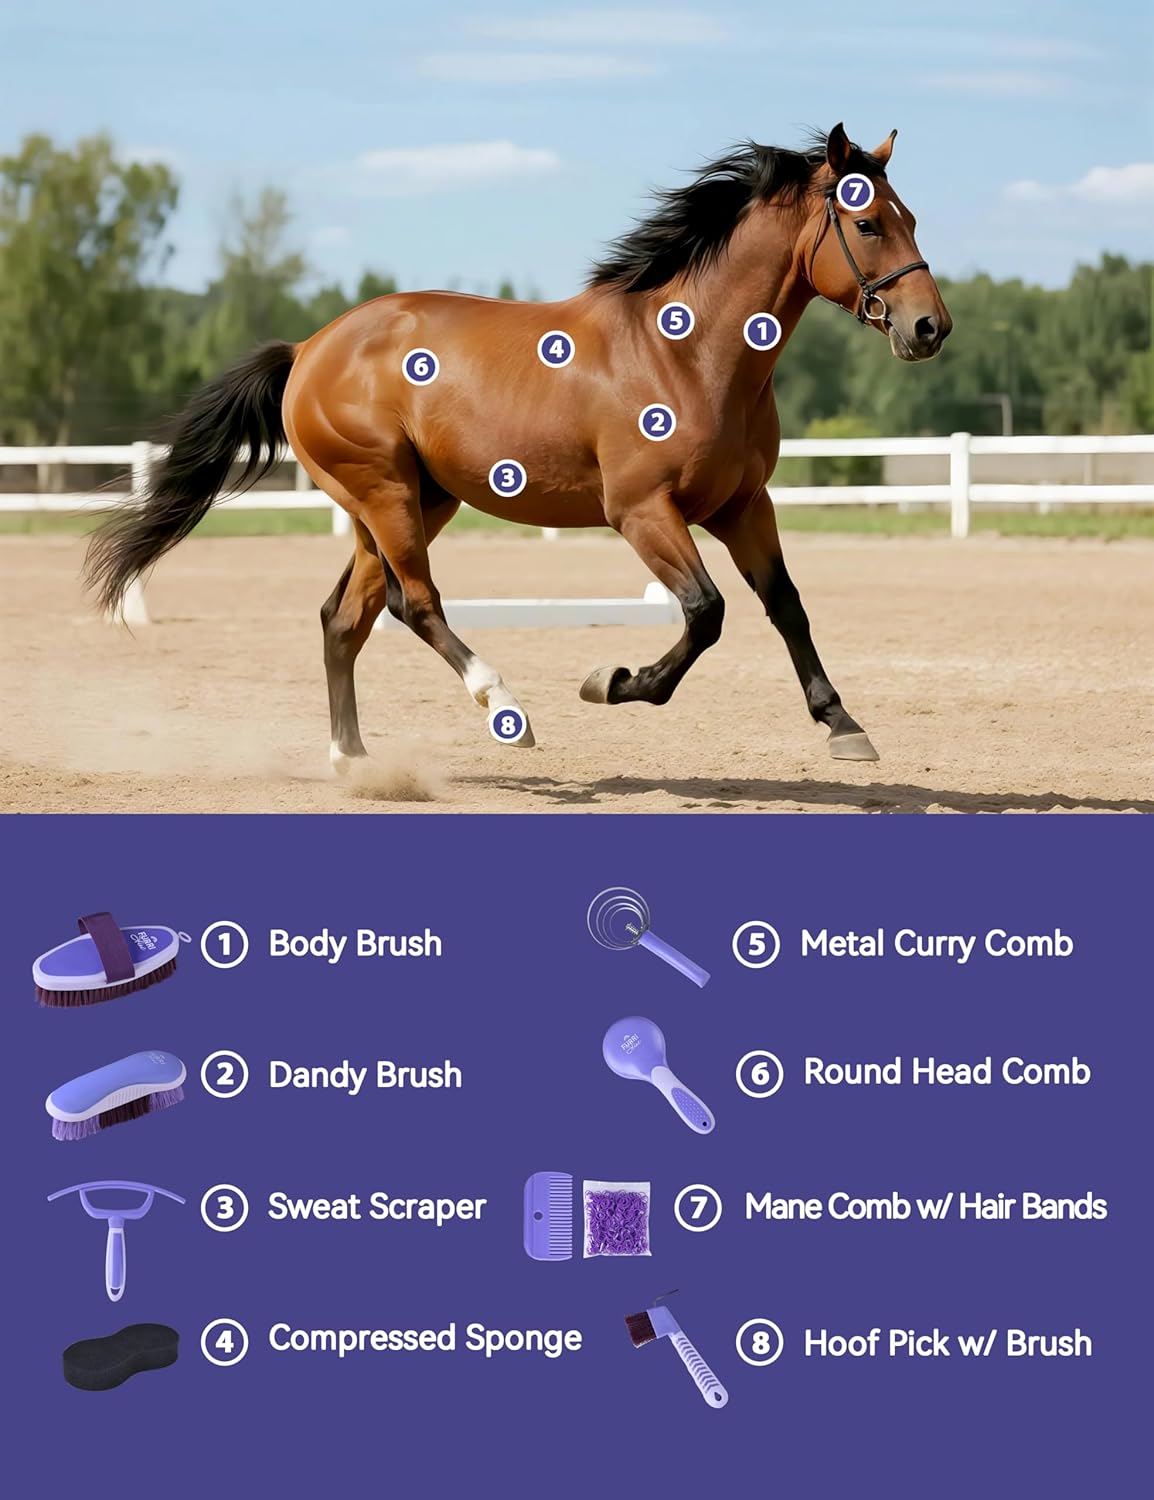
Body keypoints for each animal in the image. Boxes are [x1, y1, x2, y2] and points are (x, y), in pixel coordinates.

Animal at [86, 123, 951, 771]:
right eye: (867, 222)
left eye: (910, 217)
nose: (929, 328)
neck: (690, 351)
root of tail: (309, 348)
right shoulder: (641, 512)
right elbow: (706, 613)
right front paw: (613, 681)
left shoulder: (743, 505)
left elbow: (785, 605)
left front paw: (843, 726)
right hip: (385, 495)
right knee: (412, 602)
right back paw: (506, 709)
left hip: (408, 503)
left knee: (345, 617)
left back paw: (355, 761)